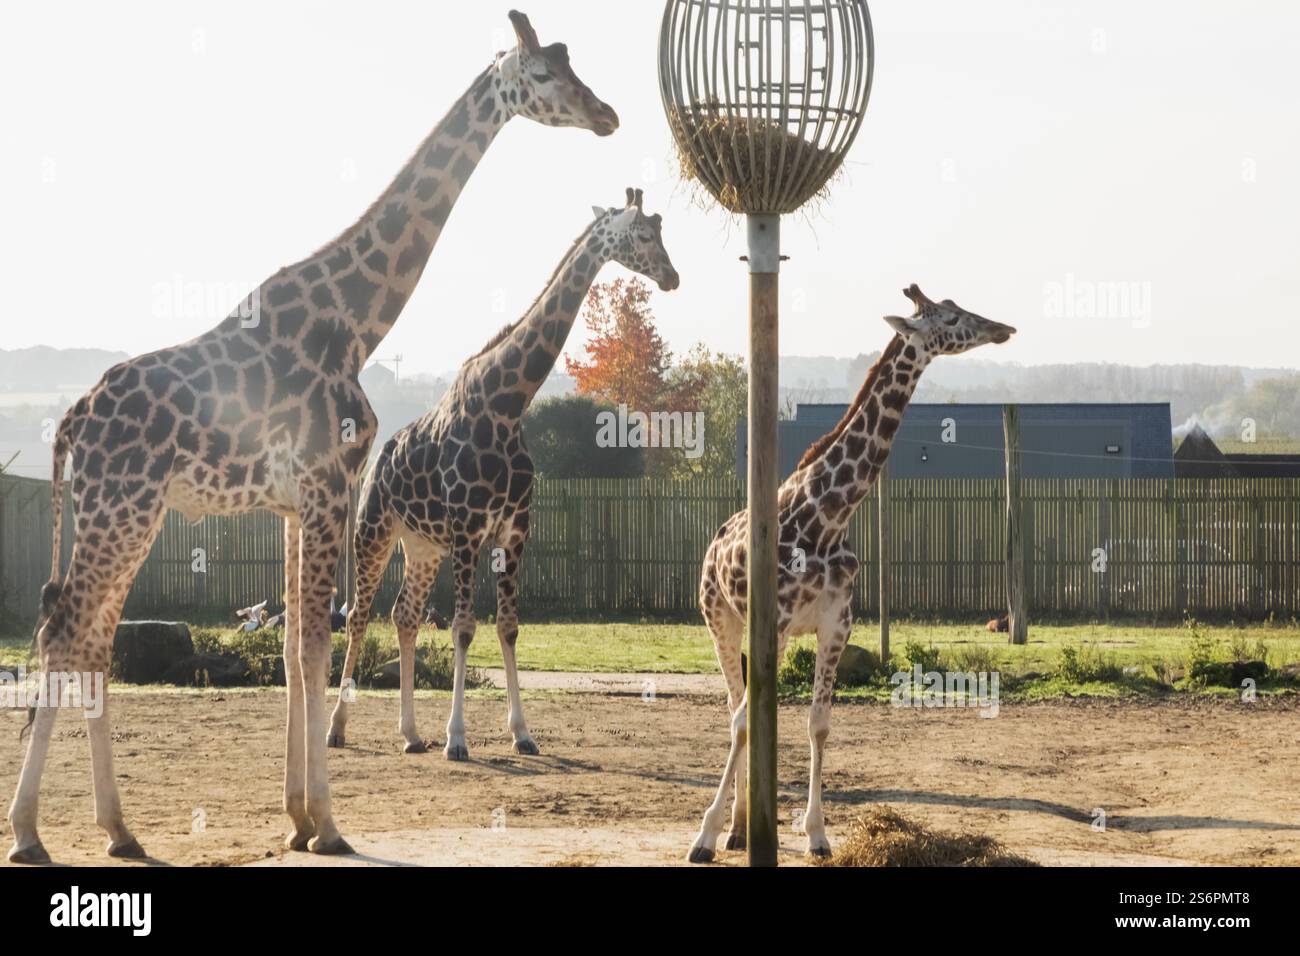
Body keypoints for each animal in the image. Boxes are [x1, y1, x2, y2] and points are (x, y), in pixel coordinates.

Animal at [6, 9, 619, 865]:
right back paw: (32, 833)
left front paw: (297, 818)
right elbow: (317, 645)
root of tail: (71, 422)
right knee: (62, 630)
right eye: (542, 75)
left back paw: (120, 831)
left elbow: (298, 644)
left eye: (574, 65)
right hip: (120, 507)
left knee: (88, 640)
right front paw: (326, 825)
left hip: (128, 512)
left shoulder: (300, 502)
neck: (356, 320)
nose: (607, 114)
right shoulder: (331, 484)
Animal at [327, 188, 679, 758]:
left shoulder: (514, 531)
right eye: (644, 235)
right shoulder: (469, 531)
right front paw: (457, 739)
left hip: (423, 546)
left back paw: (411, 734)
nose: (672, 276)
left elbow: (509, 627)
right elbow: (464, 628)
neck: (509, 404)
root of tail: (379, 457)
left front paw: (522, 733)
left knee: (404, 615)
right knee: (358, 614)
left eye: (663, 231)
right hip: (373, 531)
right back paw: (337, 728)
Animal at [687, 285, 1016, 862]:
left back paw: (743, 827)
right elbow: (747, 720)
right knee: (733, 708)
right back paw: (730, 828)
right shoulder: (772, 622)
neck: (829, 517)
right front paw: (703, 835)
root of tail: (715, 539)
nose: (1003, 329)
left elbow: (818, 724)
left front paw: (817, 833)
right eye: (951, 317)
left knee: (743, 710)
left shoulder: (836, 623)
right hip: (719, 618)